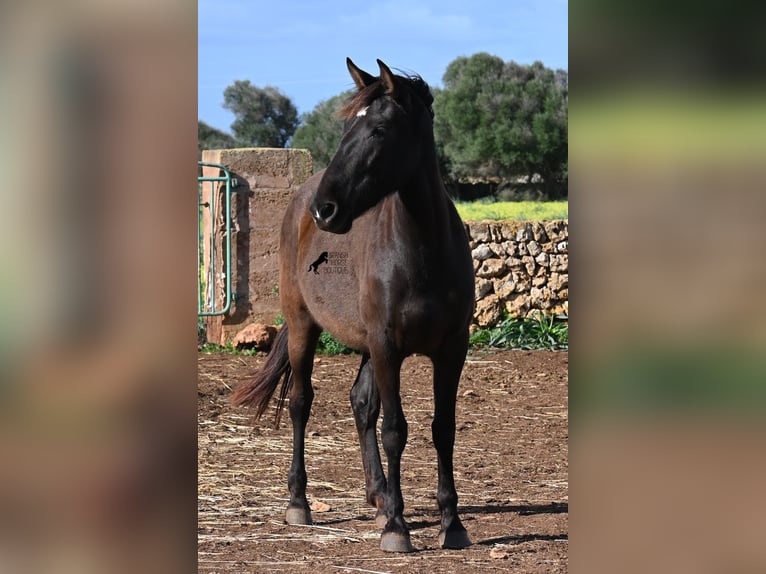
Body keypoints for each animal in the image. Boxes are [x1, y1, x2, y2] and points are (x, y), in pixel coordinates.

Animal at [231, 57, 476, 552]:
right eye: (346, 128)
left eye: (379, 130)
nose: (326, 209)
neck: (424, 252)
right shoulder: (387, 347)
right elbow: (395, 430)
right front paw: (397, 529)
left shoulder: (451, 349)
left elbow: (442, 429)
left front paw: (452, 524)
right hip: (304, 327)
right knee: (301, 402)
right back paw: (301, 504)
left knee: (361, 402)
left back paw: (379, 496)